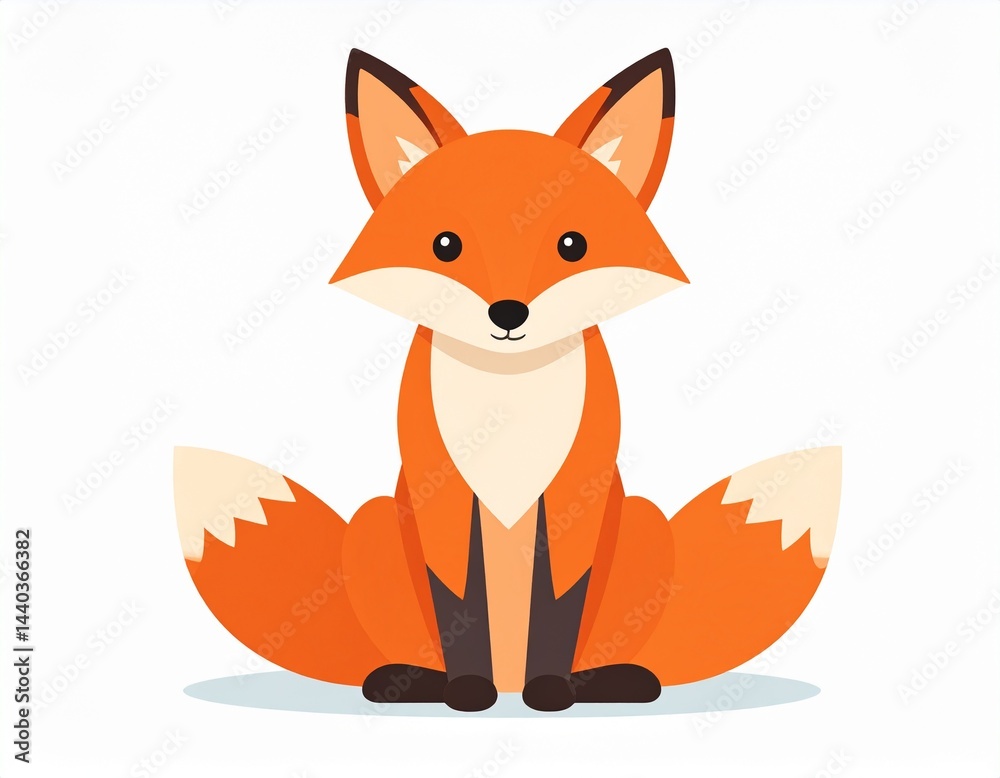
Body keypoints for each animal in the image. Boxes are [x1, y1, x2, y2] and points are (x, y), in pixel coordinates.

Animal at [174, 48, 842, 712]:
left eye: (572, 244)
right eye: (446, 244)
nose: (508, 313)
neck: (508, 404)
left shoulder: (573, 499)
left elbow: (558, 606)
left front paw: (551, 690)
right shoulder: (443, 498)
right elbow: (459, 604)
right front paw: (468, 690)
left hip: (642, 525)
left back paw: (608, 681)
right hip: (373, 526)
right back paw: (411, 682)